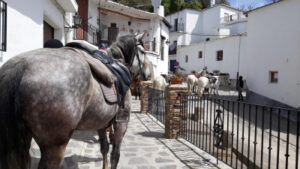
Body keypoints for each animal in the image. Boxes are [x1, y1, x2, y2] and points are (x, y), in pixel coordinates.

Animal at [0, 33, 149, 169]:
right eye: (142, 51)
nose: (146, 75)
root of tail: (20, 68)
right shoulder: (121, 122)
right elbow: (115, 155)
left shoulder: (101, 123)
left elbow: (104, 148)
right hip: (54, 147)